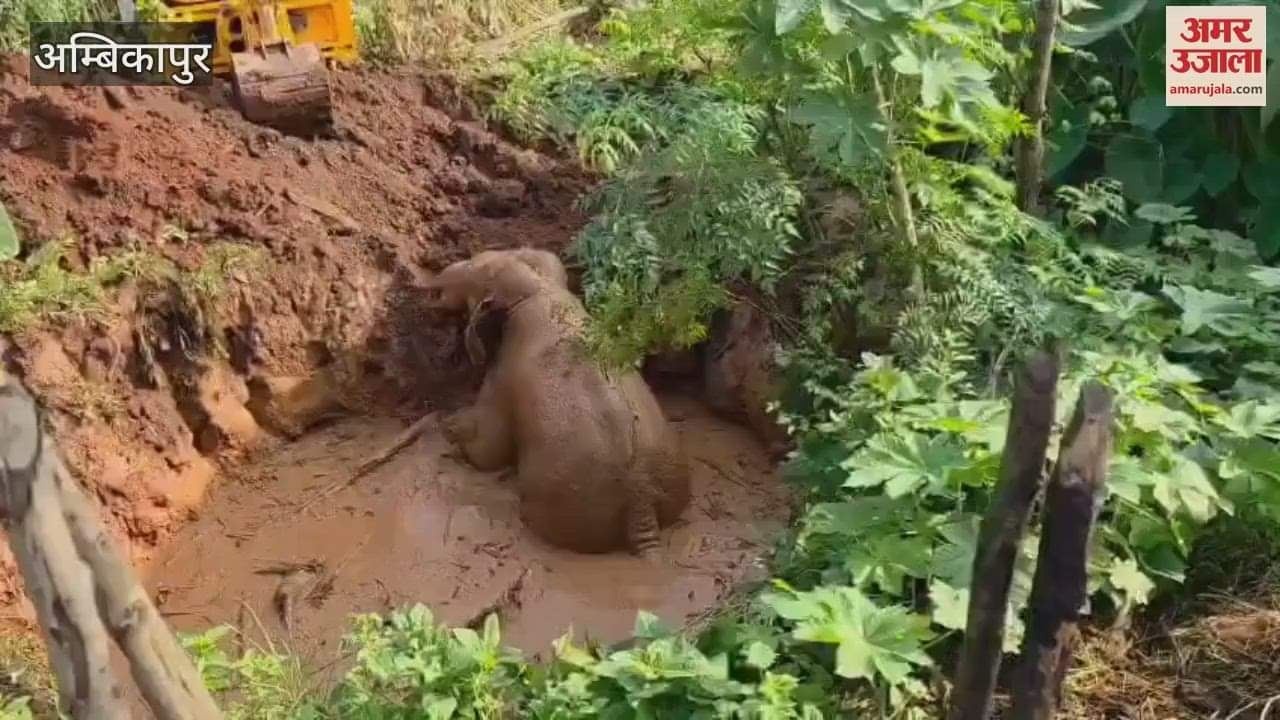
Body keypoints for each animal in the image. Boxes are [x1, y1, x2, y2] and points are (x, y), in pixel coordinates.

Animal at [424, 248, 692, 559]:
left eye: (477, 270)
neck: (536, 288)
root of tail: (642, 507)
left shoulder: (501, 379)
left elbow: (489, 451)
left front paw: (448, 426)